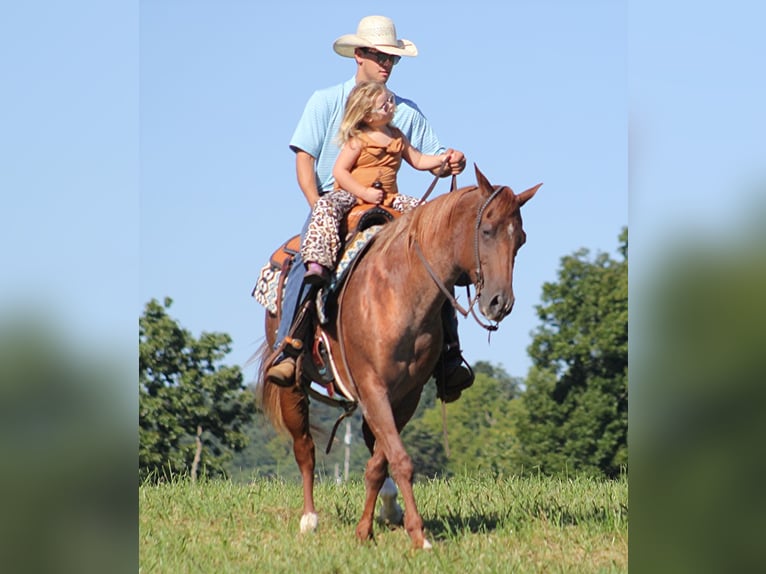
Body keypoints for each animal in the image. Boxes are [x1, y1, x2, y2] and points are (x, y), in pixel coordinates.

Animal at [256, 164, 540, 552]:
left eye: (521, 239)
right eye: (486, 229)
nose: (500, 303)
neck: (399, 290)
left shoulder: (406, 394)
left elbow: (382, 462)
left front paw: (367, 529)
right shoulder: (373, 387)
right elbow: (400, 459)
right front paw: (419, 536)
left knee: (370, 442)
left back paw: (388, 510)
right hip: (292, 385)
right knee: (305, 447)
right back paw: (309, 519)